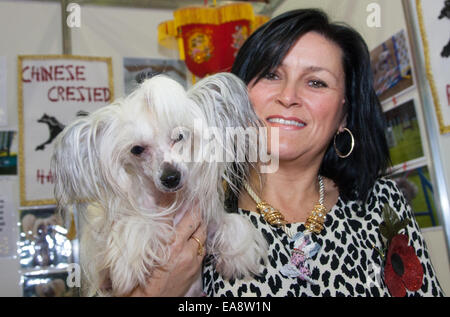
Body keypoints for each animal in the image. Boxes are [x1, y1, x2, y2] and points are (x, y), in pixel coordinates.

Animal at [52, 73, 270, 296]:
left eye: (180, 136)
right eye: (137, 149)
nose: (171, 177)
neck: (167, 200)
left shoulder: (208, 224)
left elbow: (232, 223)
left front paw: (239, 256)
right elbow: (139, 224)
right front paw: (129, 262)